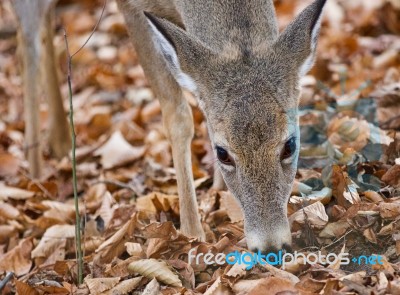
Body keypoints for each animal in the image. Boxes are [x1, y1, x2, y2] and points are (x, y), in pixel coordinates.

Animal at [116, 0, 328, 253]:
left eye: (290, 145)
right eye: (222, 153)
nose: (271, 246)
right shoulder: (130, 8)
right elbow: (178, 117)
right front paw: (192, 233)